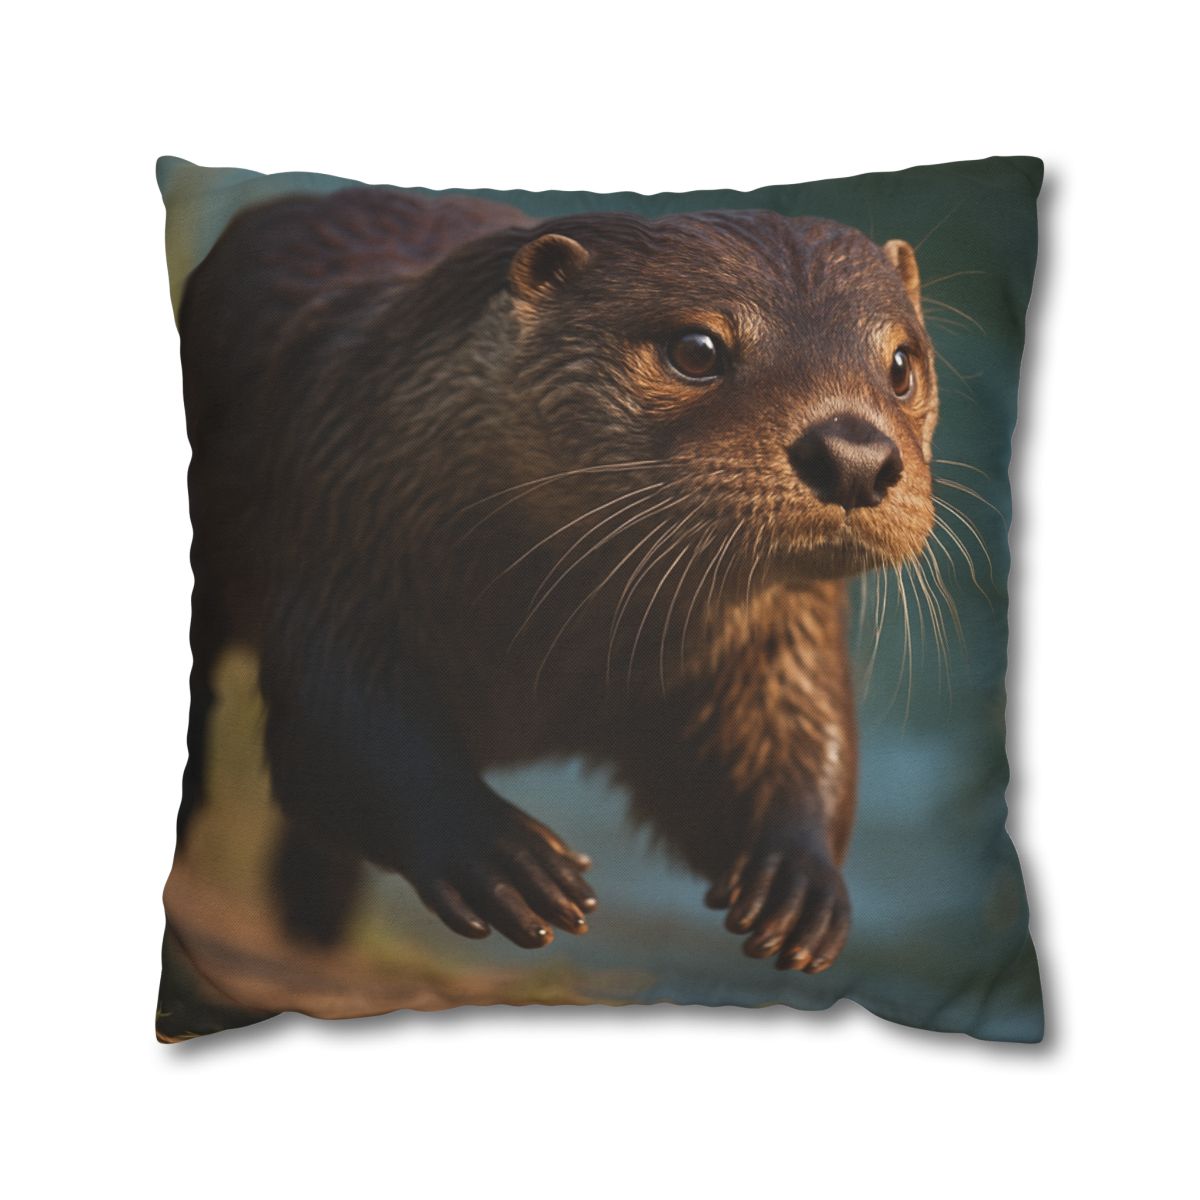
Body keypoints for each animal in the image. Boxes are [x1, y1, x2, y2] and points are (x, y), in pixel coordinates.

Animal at [177, 187, 938, 974]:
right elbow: (343, 730)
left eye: (901, 364)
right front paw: (498, 856)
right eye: (697, 350)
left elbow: (785, 737)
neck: (549, 638)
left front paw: (799, 882)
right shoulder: (343, 532)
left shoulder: (780, 635)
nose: (854, 455)